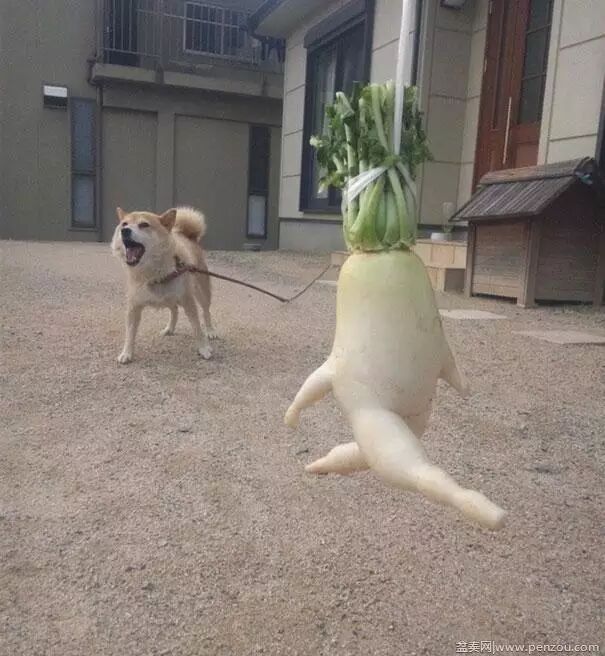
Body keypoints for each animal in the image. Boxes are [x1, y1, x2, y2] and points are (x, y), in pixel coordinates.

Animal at [111, 206, 216, 364]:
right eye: (124, 224)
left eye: (144, 224)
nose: (125, 231)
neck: (153, 274)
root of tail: (188, 237)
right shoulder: (133, 306)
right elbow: (130, 333)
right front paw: (127, 353)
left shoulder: (188, 301)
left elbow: (197, 328)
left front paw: (203, 348)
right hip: (169, 298)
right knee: (174, 310)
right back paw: (169, 329)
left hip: (201, 292)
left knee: (206, 312)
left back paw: (210, 331)